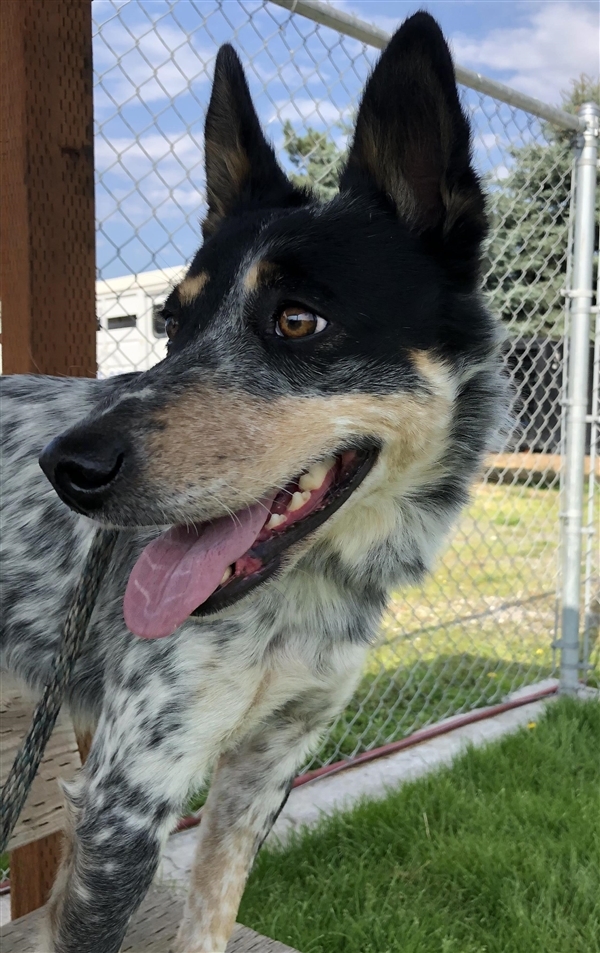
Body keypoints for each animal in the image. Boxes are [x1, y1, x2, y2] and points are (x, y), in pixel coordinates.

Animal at [0, 13, 504, 953]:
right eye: (173, 322)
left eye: (297, 320)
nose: (64, 468)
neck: (303, 595)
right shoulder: (127, 798)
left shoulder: (263, 770)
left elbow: (213, 918)